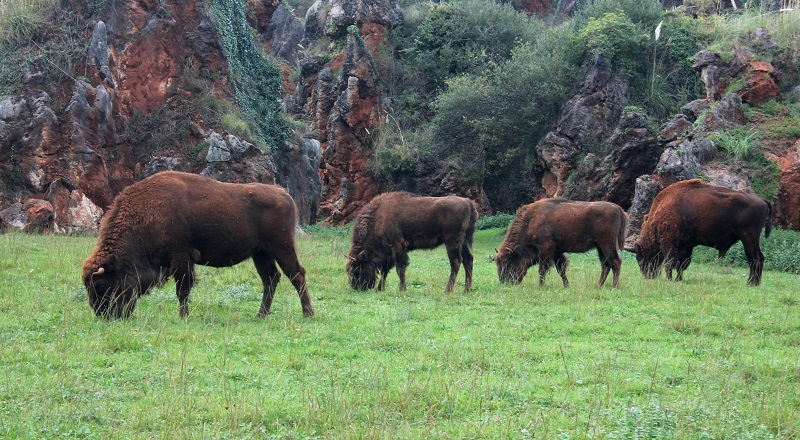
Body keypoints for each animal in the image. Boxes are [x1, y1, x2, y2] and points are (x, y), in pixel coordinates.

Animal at [81, 172, 316, 320]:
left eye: (101, 286)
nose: (103, 314)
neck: (146, 214)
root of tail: (283, 193)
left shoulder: (181, 258)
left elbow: (182, 289)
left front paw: (183, 316)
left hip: (282, 247)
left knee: (296, 274)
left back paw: (308, 313)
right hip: (261, 253)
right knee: (270, 279)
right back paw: (260, 315)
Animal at [346, 192, 478, 292]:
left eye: (356, 270)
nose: (356, 288)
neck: (379, 217)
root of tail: (468, 202)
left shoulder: (397, 247)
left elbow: (400, 268)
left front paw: (402, 289)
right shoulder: (388, 253)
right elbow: (385, 270)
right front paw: (380, 289)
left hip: (452, 242)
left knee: (456, 261)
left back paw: (448, 290)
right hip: (466, 240)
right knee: (468, 259)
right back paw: (467, 289)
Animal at [494, 199, 632, 288]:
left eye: (508, 262)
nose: (504, 282)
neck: (531, 220)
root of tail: (619, 209)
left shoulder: (545, 249)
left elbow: (542, 269)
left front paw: (540, 286)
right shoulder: (556, 251)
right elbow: (561, 269)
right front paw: (566, 286)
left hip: (607, 244)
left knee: (615, 262)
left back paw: (615, 286)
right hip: (600, 247)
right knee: (606, 265)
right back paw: (599, 285)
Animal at [628, 179, 772, 286]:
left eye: (640, 256)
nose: (647, 275)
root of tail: (763, 200)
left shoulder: (669, 243)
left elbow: (670, 262)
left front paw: (669, 279)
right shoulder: (686, 245)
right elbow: (681, 264)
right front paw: (678, 279)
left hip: (748, 238)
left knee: (754, 258)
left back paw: (751, 283)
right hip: (753, 239)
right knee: (760, 257)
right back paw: (755, 283)